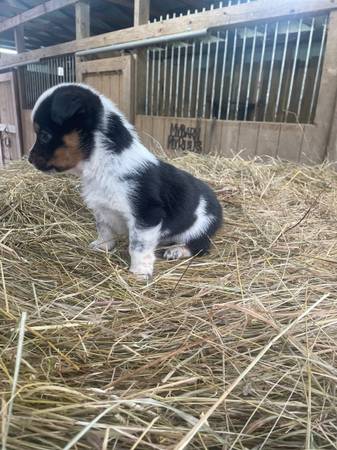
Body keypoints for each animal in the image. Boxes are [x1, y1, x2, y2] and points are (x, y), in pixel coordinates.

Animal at [28, 81, 222, 278]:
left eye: (44, 135)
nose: (29, 159)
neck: (103, 164)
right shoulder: (102, 209)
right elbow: (104, 230)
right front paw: (103, 246)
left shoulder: (146, 216)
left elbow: (138, 246)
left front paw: (139, 272)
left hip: (201, 227)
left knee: (200, 246)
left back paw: (177, 250)